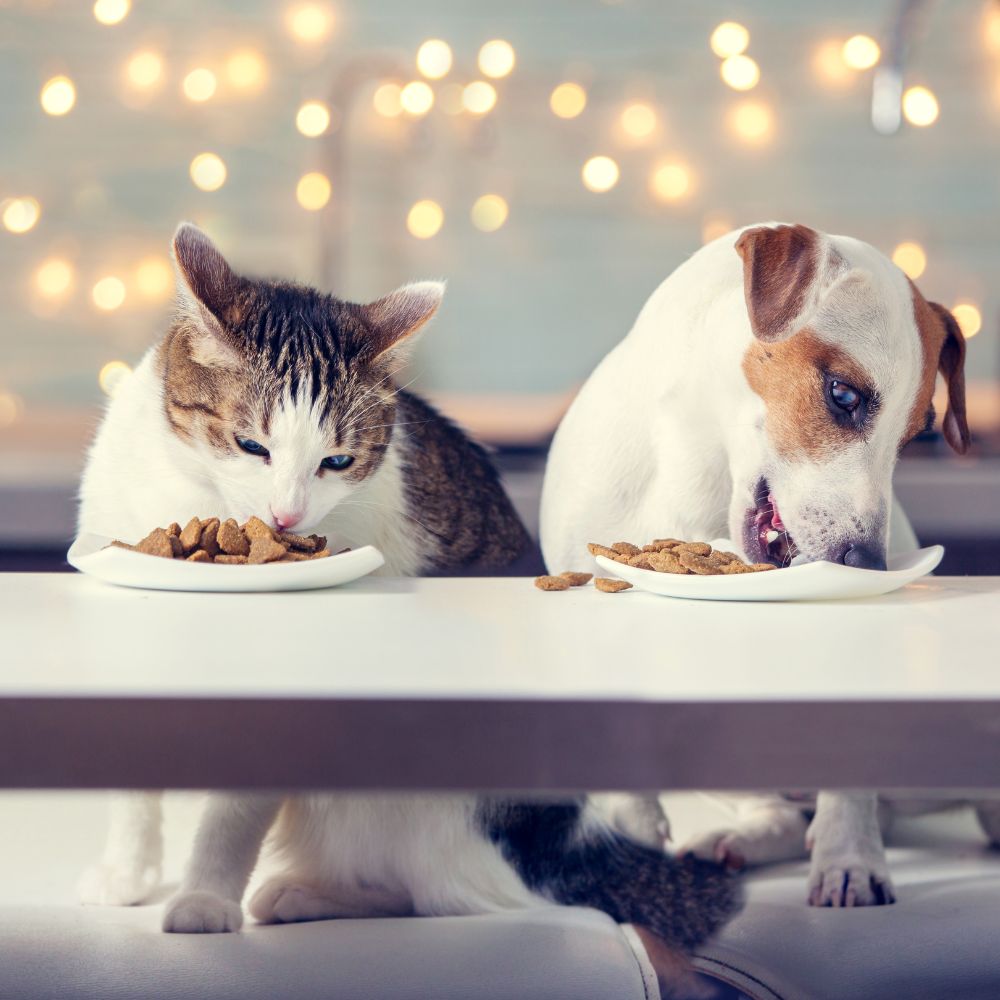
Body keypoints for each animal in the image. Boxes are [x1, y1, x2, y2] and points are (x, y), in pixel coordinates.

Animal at [80, 223, 744, 956]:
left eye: (337, 461)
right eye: (251, 445)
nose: (286, 518)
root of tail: (562, 833)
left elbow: (232, 816)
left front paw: (203, 900)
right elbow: (132, 791)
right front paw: (127, 874)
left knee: (439, 893)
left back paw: (303, 896)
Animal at [540, 225, 976, 908]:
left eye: (914, 436)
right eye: (844, 396)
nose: (869, 563)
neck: (697, 466)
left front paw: (850, 859)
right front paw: (630, 828)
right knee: (779, 812)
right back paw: (739, 841)